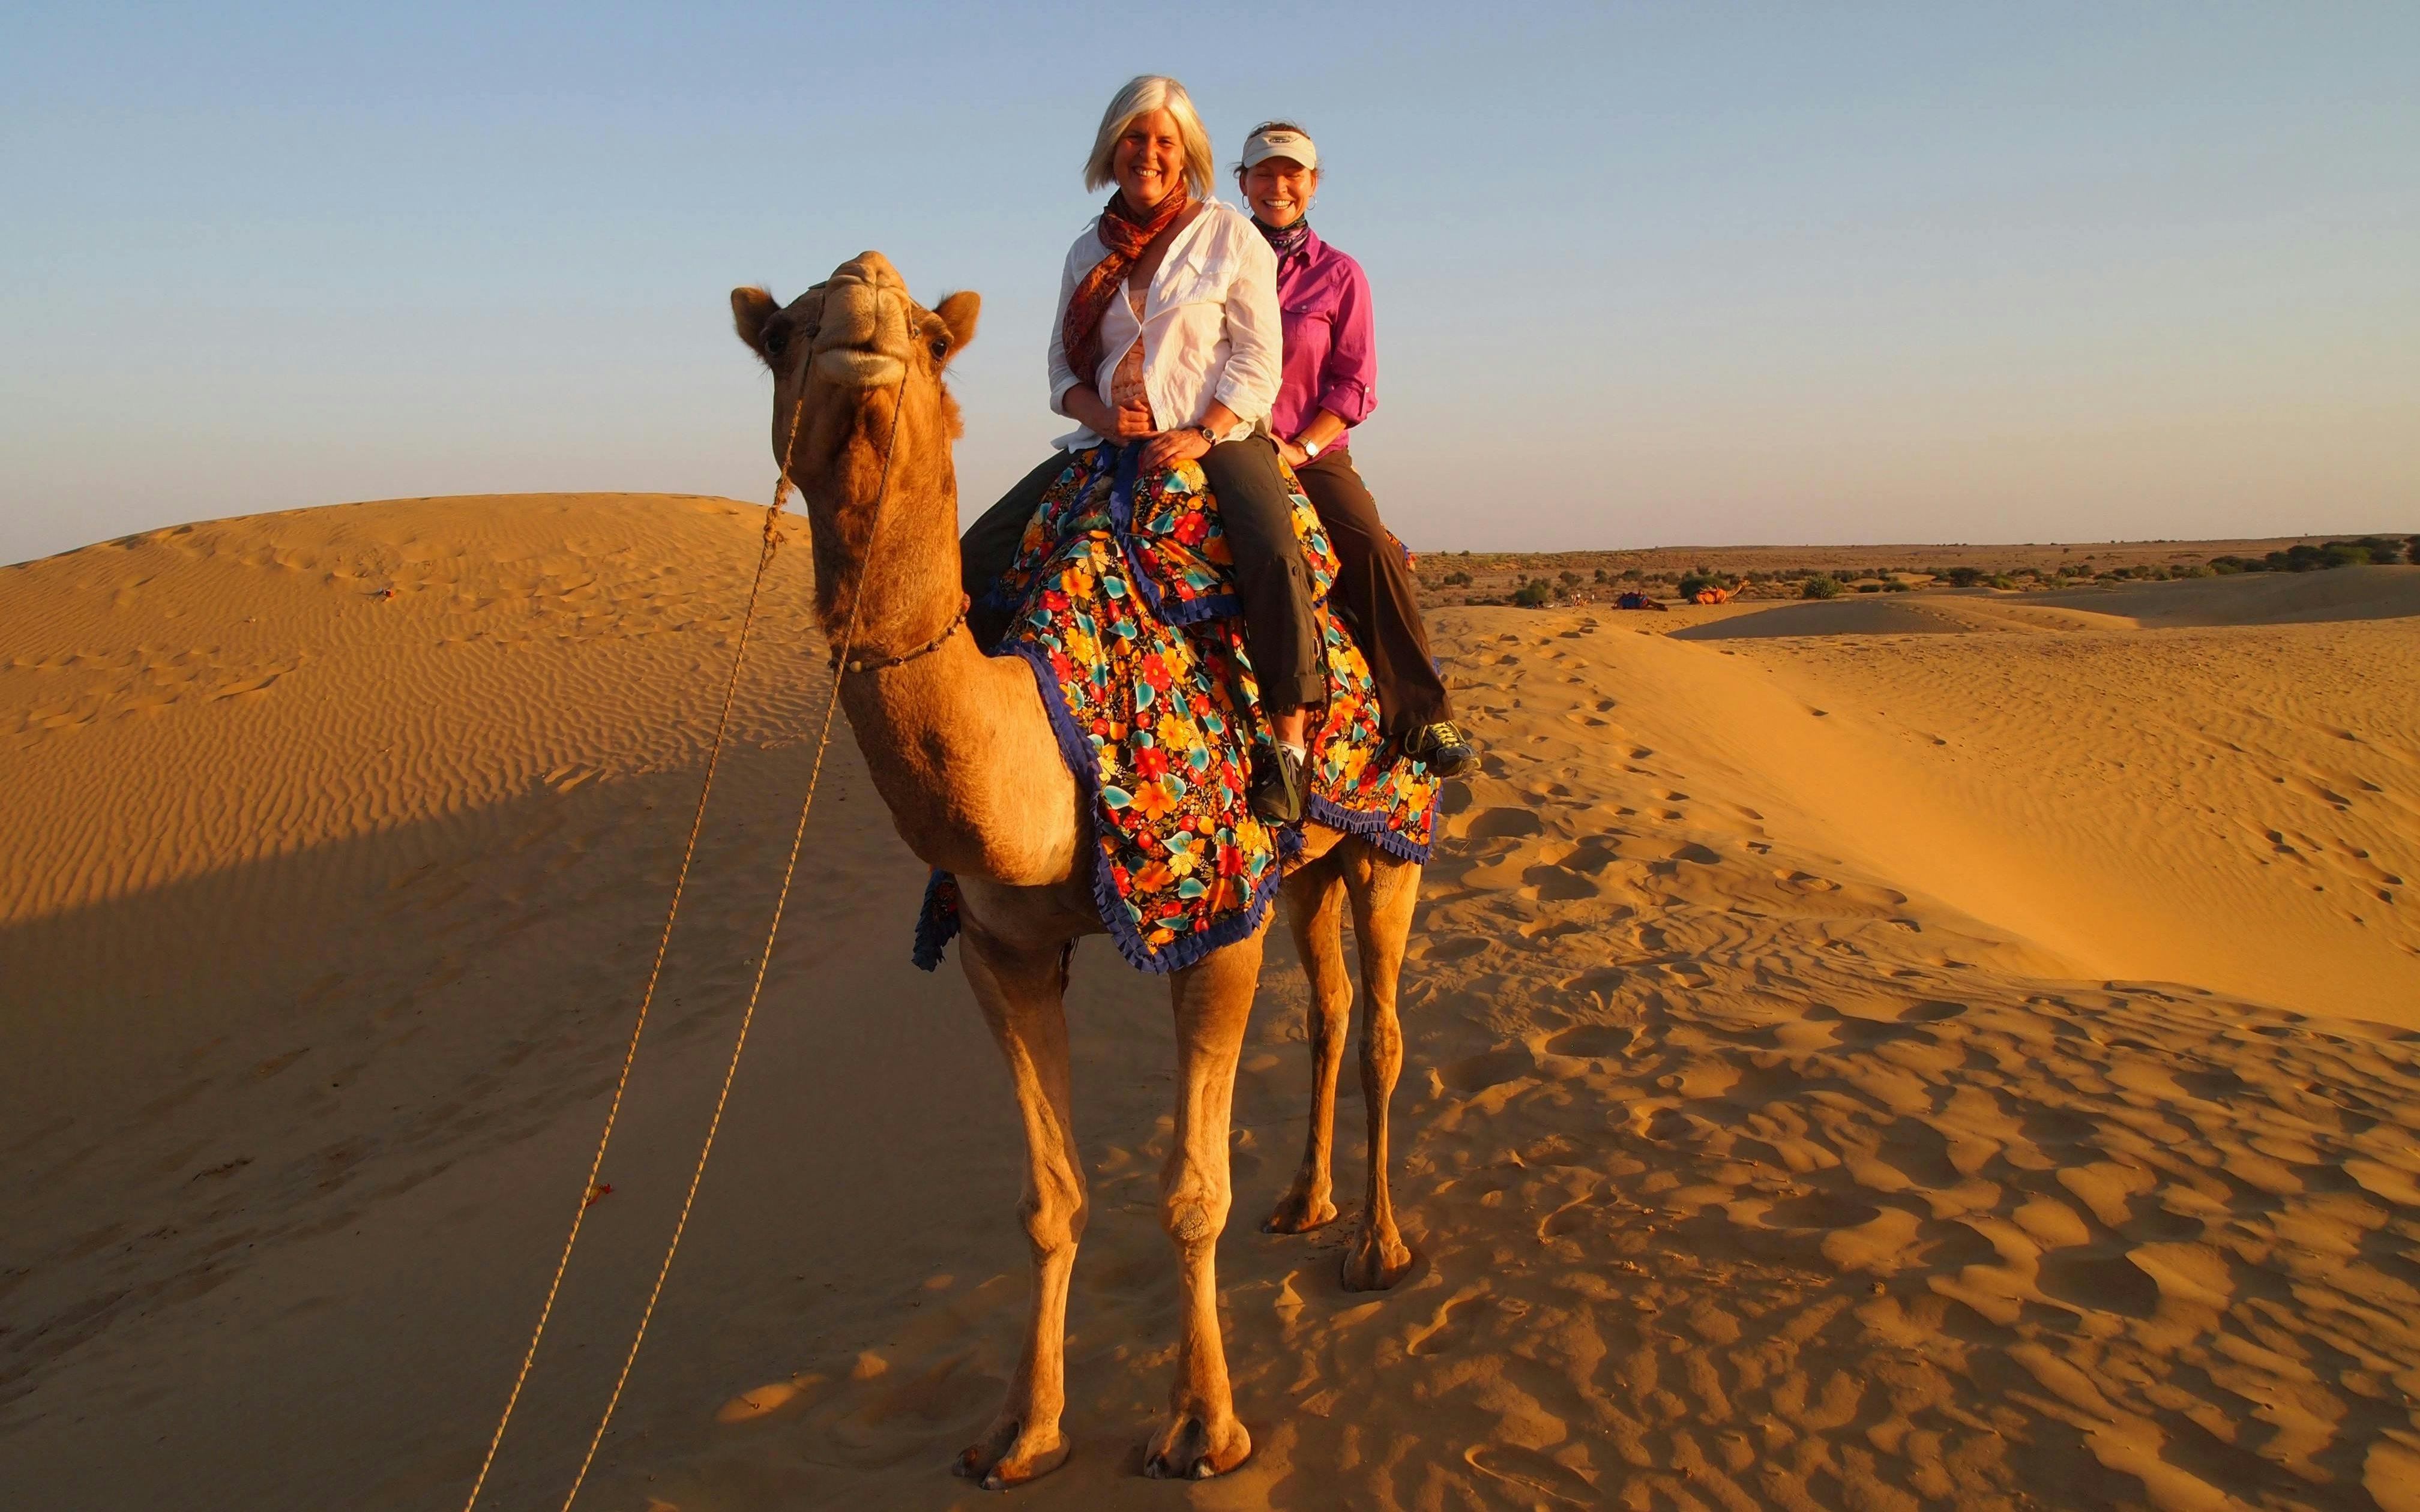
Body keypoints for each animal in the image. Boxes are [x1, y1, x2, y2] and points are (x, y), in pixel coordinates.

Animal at [730, 252, 1423, 1487]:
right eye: (783, 336)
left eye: (930, 335)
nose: (865, 303)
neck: (1048, 749)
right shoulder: (999, 949)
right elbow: (1049, 1201)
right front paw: (1023, 1431)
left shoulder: (1214, 922)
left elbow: (1191, 1194)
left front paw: (1201, 1429)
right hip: (1305, 865)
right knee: (1333, 1009)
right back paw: (1305, 1204)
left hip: (1394, 840)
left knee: (1383, 1026)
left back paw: (1377, 1248)